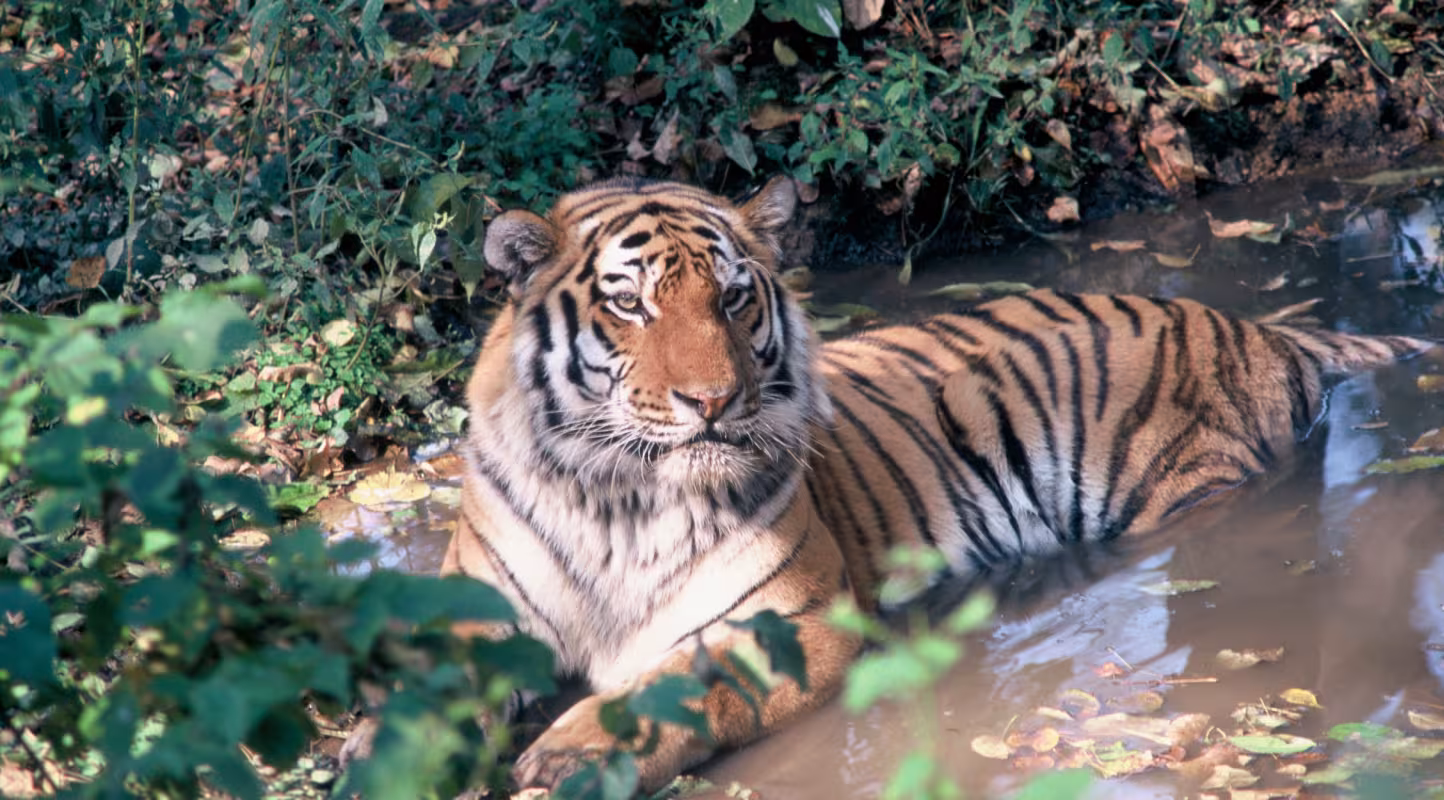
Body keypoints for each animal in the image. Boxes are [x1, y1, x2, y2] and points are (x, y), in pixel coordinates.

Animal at [440, 176, 1430, 792]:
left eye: (732, 298)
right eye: (629, 303)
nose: (713, 401)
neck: (619, 498)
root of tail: (1259, 328)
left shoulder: (795, 623)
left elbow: (682, 683)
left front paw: (566, 756)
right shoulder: (471, 619)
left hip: (1190, 488)